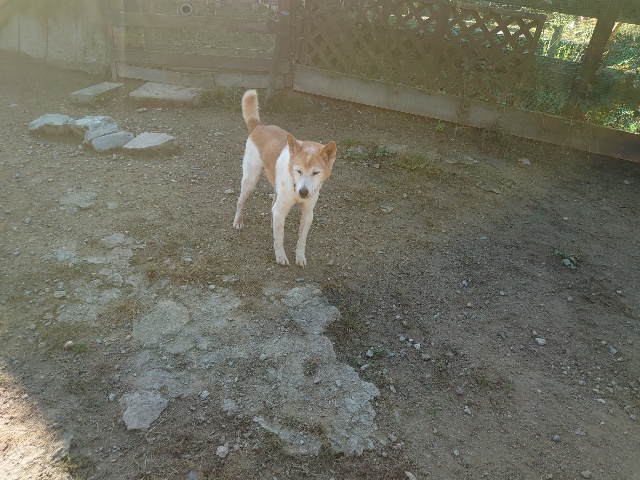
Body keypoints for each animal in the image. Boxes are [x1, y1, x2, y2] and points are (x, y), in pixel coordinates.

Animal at [233, 90, 337, 267]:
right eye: (298, 170)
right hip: (250, 179)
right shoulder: (282, 209)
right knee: (241, 201)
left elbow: (301, 240)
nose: (303, 192)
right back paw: (238, 221)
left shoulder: (308, 214)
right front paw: (280, 256)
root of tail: (259, 126)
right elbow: (279, 238)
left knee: (272, 206)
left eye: (316, 173)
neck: (295, 187)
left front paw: (300, 257)